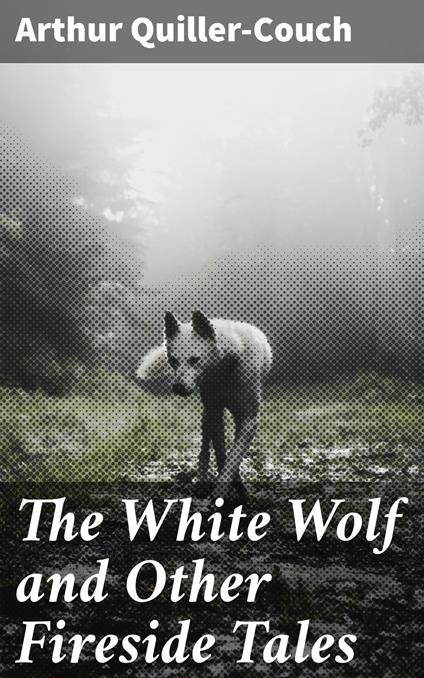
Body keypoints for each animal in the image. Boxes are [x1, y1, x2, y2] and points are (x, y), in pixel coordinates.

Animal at [137, 311, 272, 498]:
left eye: (194, 359)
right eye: (173, 360)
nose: (178, 388)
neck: (225, 368)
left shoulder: (249, 421)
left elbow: (233, 457)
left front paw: (231, 490)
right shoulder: (215, 413)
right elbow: (222, 455)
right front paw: (226, 490)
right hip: (207, 414)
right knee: (205, 448)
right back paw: (201, 480)